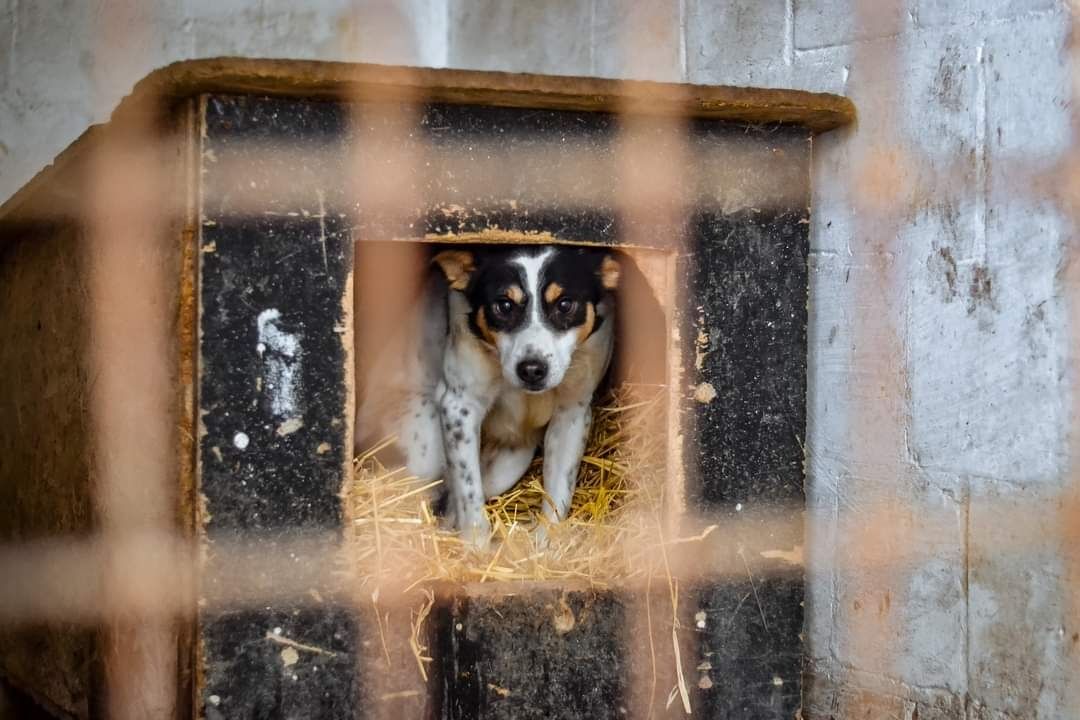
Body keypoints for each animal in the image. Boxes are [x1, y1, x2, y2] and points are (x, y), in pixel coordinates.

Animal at [358, 246, 622, 546]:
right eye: (504, 305)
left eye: (565, 304)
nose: (532, 370)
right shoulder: (458, 407)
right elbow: (469, 491)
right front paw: (477, 547)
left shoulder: (572, 413)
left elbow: (559, 492)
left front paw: (546, 544)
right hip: (425, 436)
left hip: (512, 461)